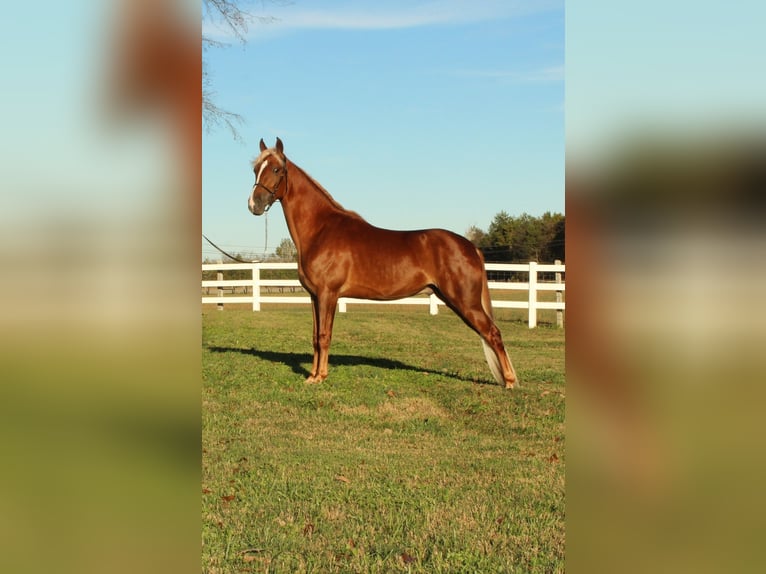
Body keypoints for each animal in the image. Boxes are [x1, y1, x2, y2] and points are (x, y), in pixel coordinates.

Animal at [249, 138, 520, 390]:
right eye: (255, 169)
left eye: (276, 169)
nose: (254, 204)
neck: (321, 229)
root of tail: (471, 247)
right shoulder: (314, 296)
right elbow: (316, 337)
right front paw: (312, 376)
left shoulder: (328, 294)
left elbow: (325, 336)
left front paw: (321, 377)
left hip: (466, 302)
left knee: (493, 333)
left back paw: (509, 382)